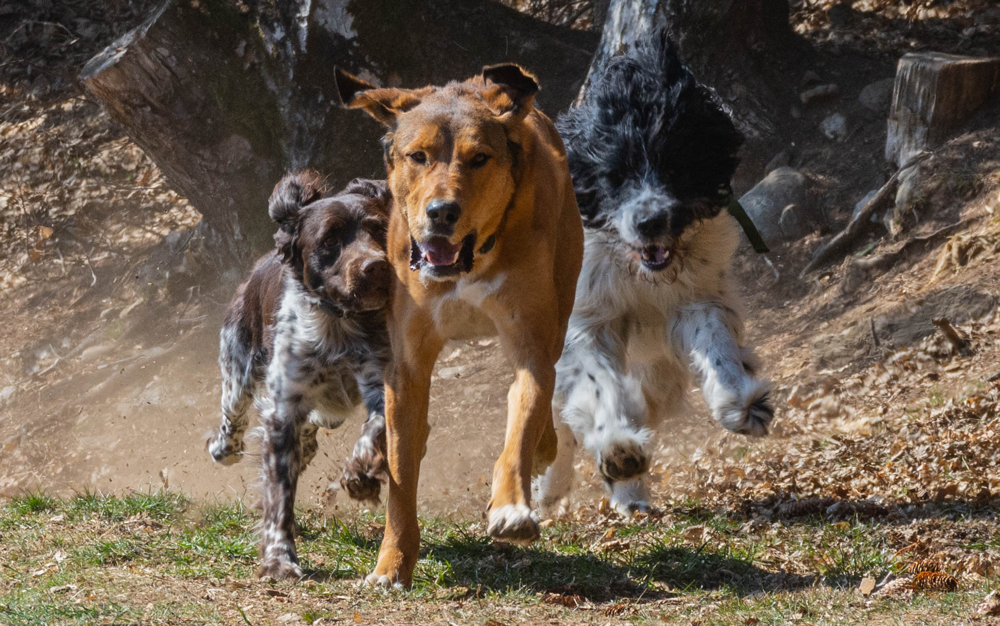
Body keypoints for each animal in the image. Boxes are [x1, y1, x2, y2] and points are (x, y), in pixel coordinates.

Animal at [207, 169, 394, 576]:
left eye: (380, 230)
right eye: (330, 240)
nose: (376, 266)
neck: (338, 327)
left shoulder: (383, 382)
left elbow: (376, 429)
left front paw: (360, 476)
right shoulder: (283, 409)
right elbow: (279, 493)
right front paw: (280, 558)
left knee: (311, 435)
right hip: (239, 367)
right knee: (233, 421)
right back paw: (223, 447)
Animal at [336, 63, 584, 584]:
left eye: (479, 158)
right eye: (418, 156)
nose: (441, 212)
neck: (469, 261)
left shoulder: (530, 343)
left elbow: (522, 421)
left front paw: (511, 508)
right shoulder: (407, 363)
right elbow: (402, 474)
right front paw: (392, 563)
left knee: (544, 414)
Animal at [540, 31, 772, 516]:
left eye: (675, 166)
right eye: (615, 173)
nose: (649, 222)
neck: (641, 272)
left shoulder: (696, 298)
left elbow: (716, 344)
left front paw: (742, 402)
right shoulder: (586, 317)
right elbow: (593, 383)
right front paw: (617, 448)